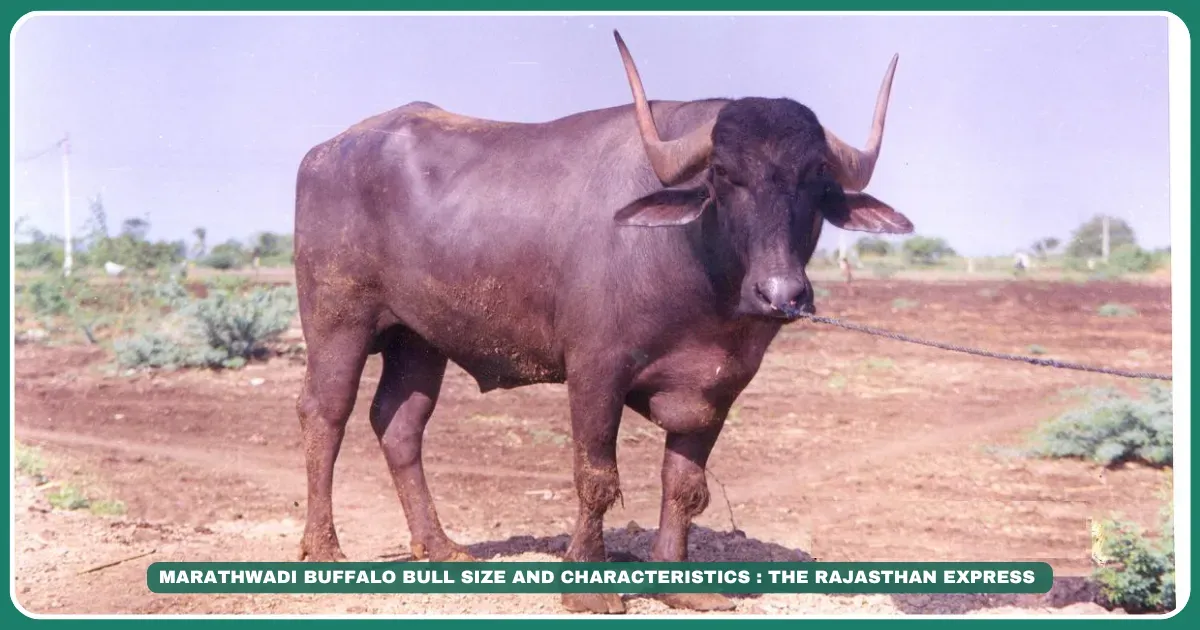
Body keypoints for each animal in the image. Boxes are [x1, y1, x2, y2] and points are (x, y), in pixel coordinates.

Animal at [293, 30, 914, 614]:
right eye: (723, 172)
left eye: (816, 176)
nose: (782, 292)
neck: (696, 275)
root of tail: (325, 153)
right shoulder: (595, 372)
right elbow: (596, 478)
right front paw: (588, 587)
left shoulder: (719, 387)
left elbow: (685, 486)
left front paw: (682, 586)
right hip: (336, 321)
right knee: (326, 415)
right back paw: (325, 549)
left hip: (418, 338)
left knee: (399, 425)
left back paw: (440, 547)